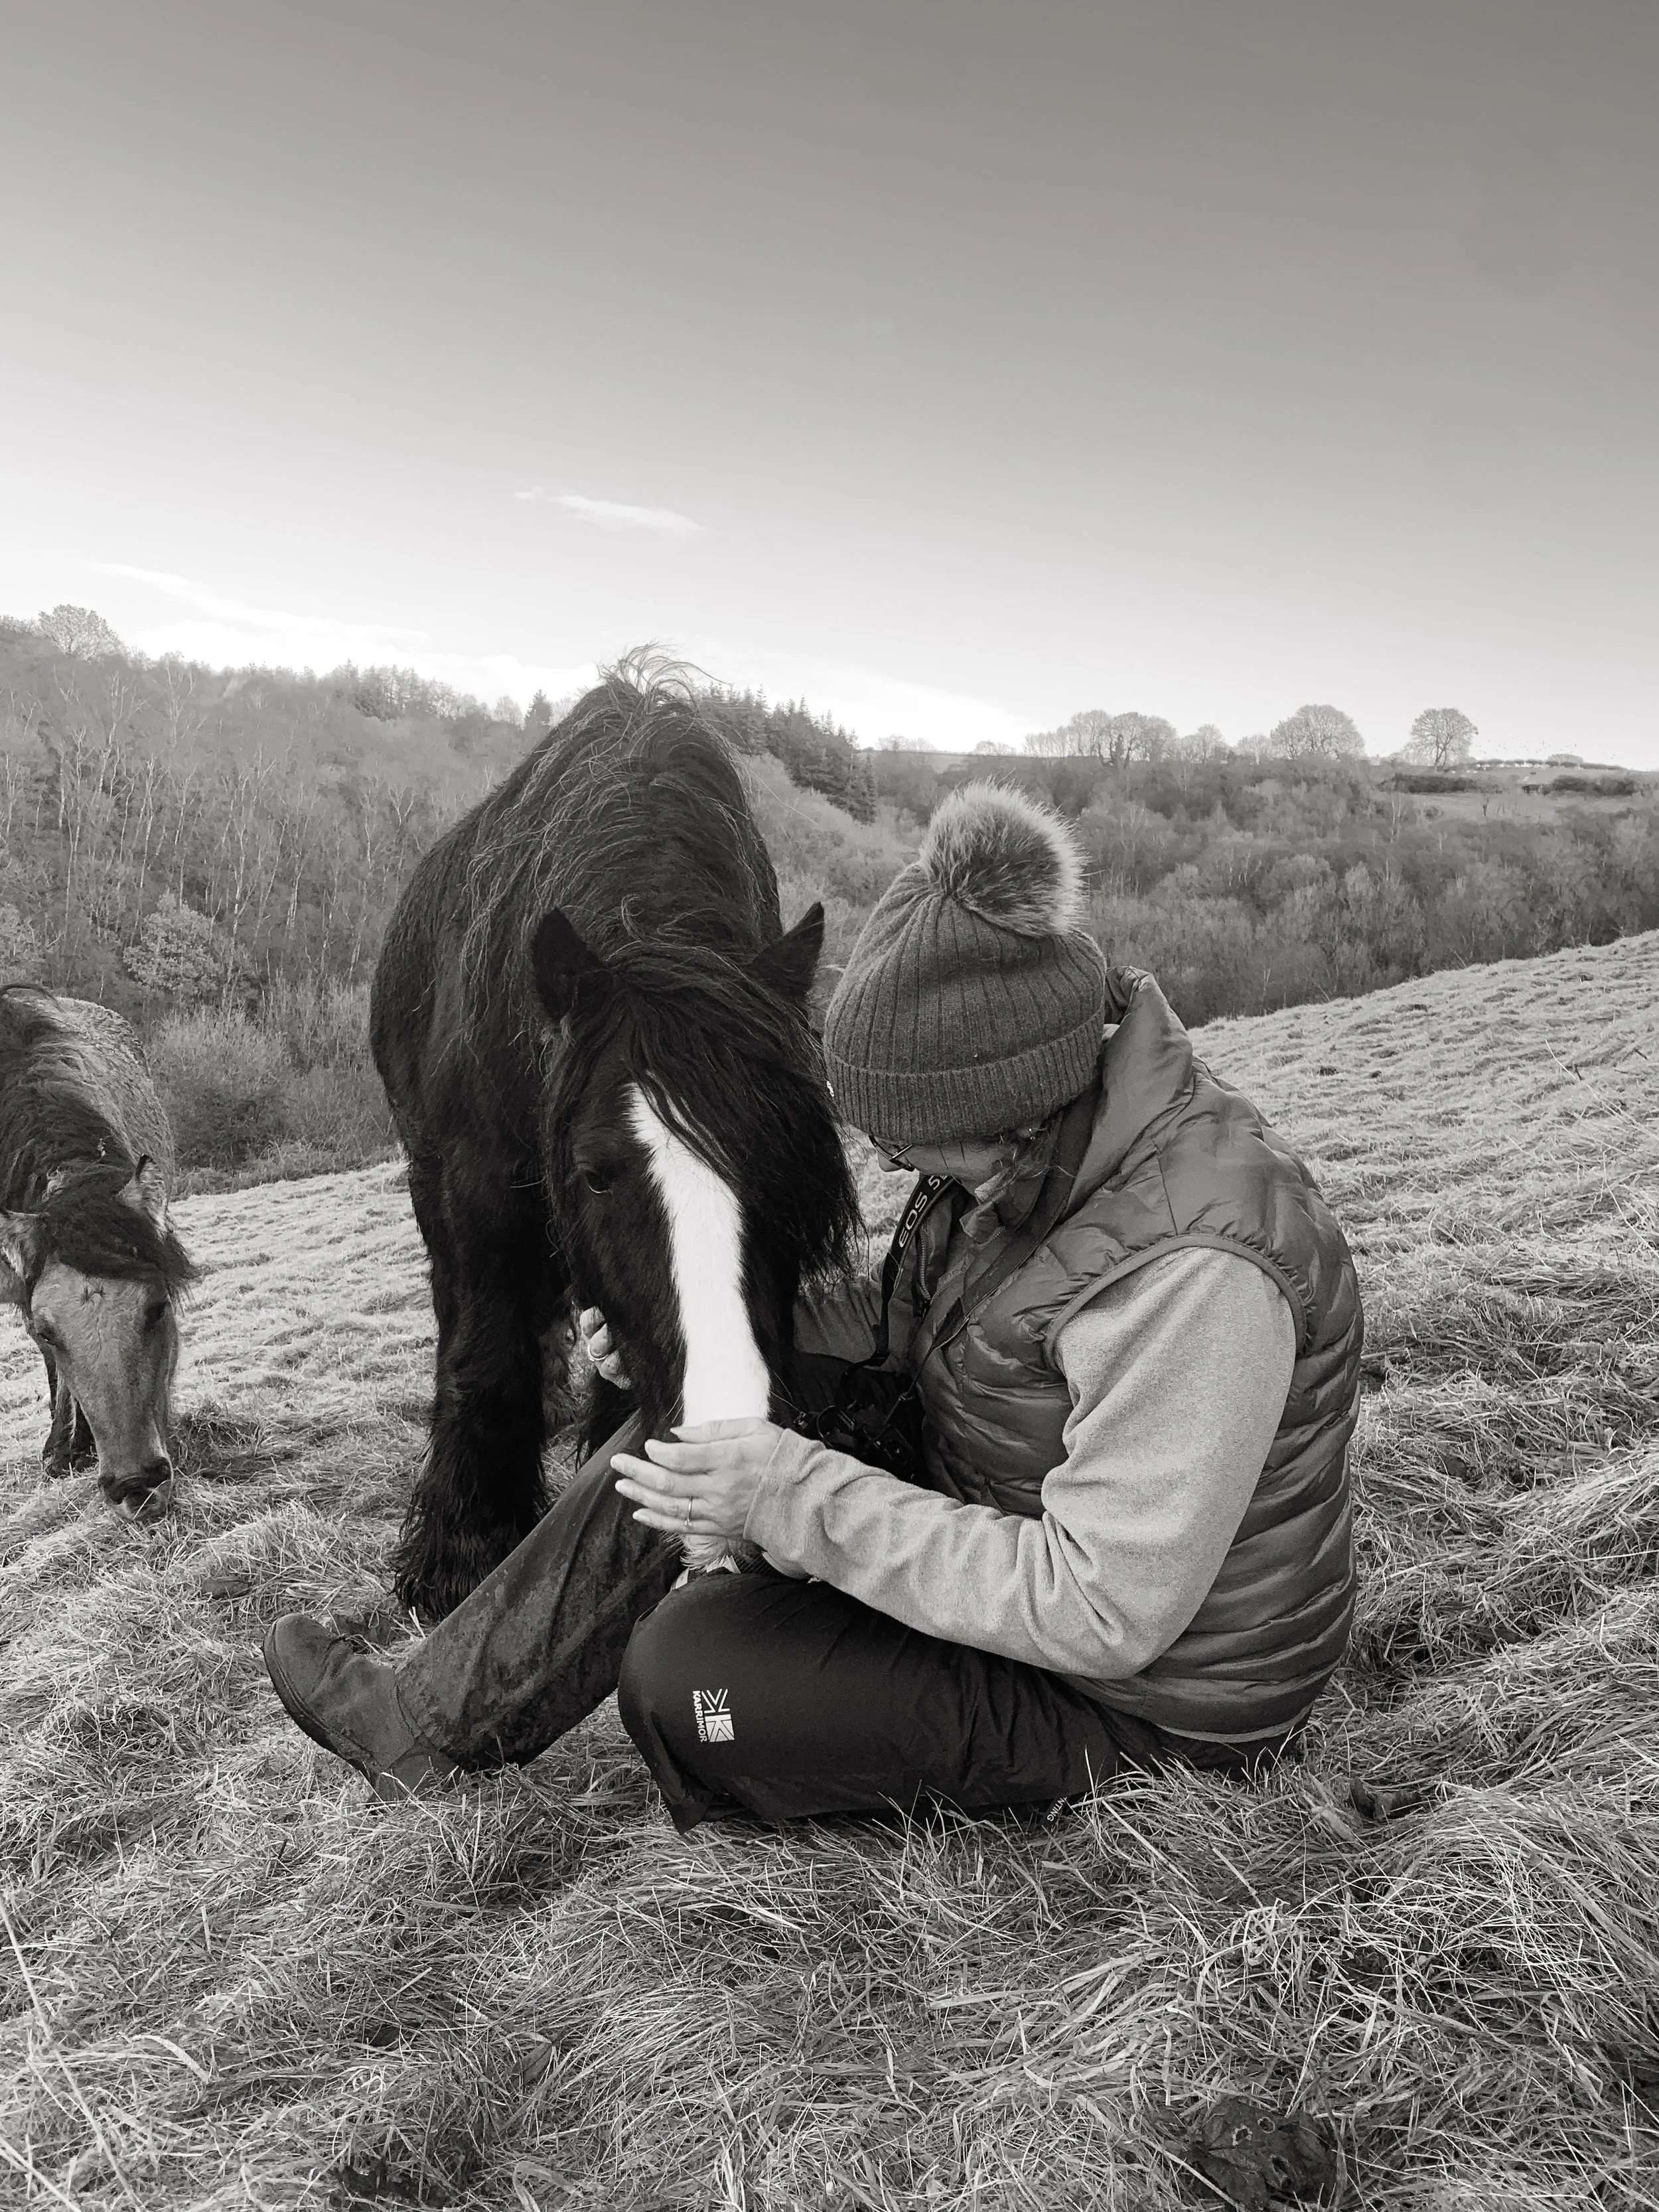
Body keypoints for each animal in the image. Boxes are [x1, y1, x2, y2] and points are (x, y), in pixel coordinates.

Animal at [371, 663, 859, 1621]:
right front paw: (461, 1550)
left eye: (793, 1170)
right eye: (596, 1173)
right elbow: (487, 1357)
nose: (721, 1452)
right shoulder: (479, 1185)